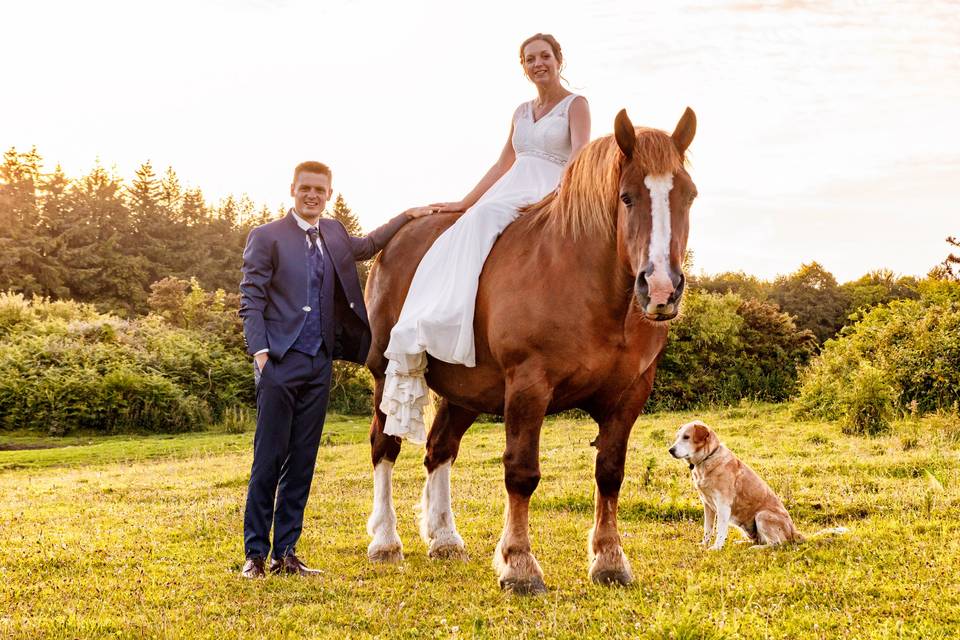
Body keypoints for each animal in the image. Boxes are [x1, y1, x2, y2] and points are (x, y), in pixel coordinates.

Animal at [364, 109, 692, 596]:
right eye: (627, 197)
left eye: (688, 195)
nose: (662, 289)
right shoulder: (528, 386)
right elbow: (521, 473)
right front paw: (519, 563)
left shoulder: (630, 394)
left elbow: (610, 472)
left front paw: (609, 559)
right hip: (387, 375)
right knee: (384, 447)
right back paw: (386, 540)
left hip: (466, 392)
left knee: (440, 449)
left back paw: (444, 537)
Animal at [672, 420, 844, 552]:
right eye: (678, 437)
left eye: (686, 437)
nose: (670, 450)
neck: (707, 458)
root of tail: (794, 532)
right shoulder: (707, 505)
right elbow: (707, 530)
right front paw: (704, 545)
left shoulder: (723, 506)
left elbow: (720, 530)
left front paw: (716, 548)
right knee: (760, 540)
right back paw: (742, 543)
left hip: (762, 515)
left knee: (777, 544)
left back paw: (755, 549)